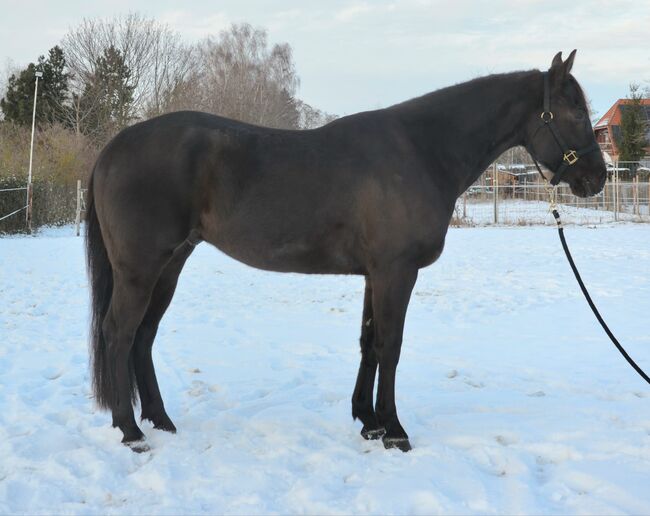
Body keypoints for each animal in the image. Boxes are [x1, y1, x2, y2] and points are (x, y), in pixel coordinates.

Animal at [85, 49, 604, 452]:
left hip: (170, 265)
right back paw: (131, 431)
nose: (596, 179)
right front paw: (394, 430)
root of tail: (113, 148)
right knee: (118, 332)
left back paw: (159, 420)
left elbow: (368, 343)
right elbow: (391, 345)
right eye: (576, 113)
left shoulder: (376, 274)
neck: (420, 150)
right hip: (140, 269)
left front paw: (368, 422)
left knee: (144, 336)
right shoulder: (397, 272)